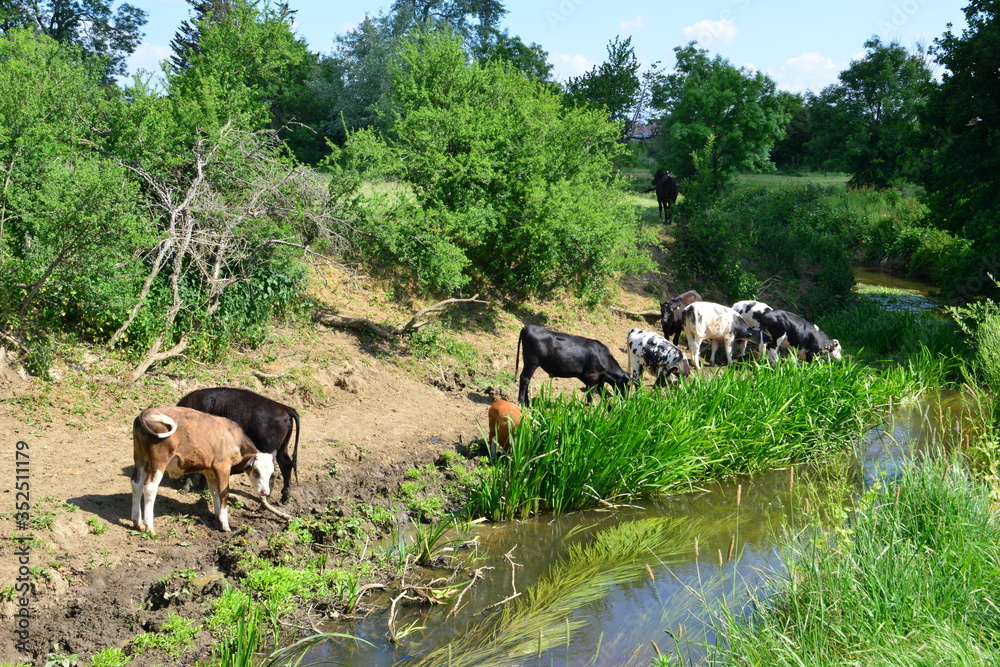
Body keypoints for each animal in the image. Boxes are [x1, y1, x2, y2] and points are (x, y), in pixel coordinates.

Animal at [131, 406, 275, 535]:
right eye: (256, 471)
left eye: (270, 474)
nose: (265, 492)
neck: (235, 439)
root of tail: (147, 412)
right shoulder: (223, 467)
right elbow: (224, 493)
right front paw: (225, 525)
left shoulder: (210, 472)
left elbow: (215, 492)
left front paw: (218, 516)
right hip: (159, 461)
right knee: (150, 487)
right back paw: (149, 526)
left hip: (141, 459)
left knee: (136, 484)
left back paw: (138, 522)